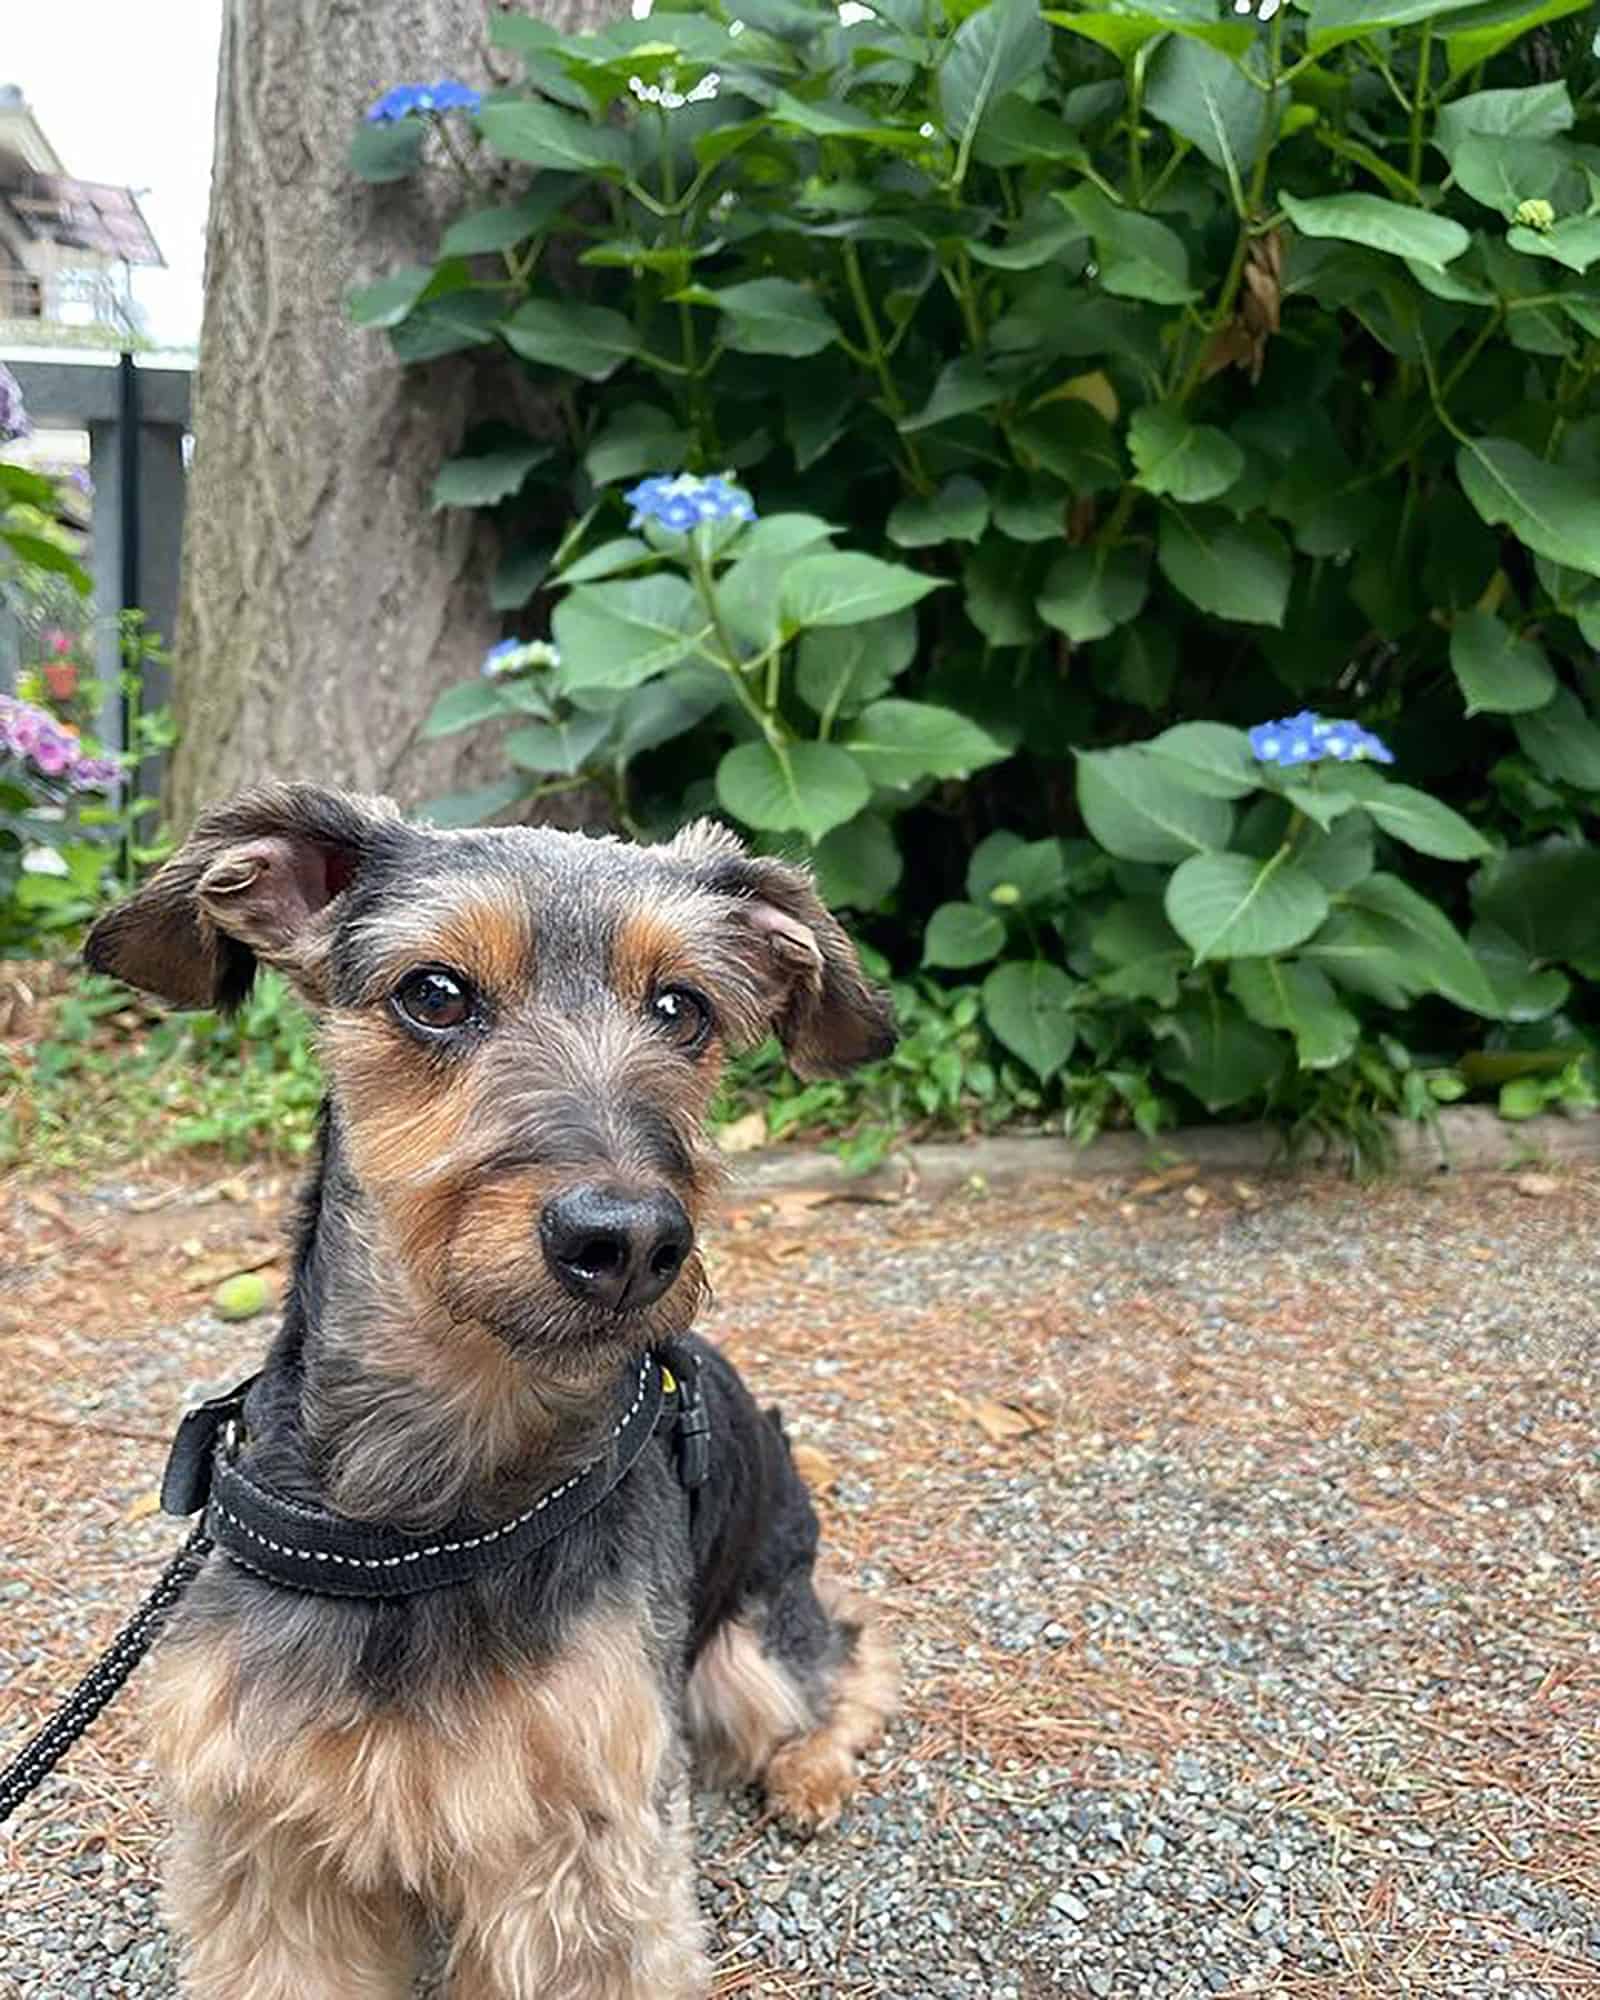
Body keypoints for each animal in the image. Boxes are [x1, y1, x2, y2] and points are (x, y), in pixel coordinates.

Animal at [87, 780, 900, 2000]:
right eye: (434, 993)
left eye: (684, 1009)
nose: (630, 1241)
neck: (431, 1486)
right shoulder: (271, 1845)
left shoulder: (581, 1849)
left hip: (745, 1651)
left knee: (845, 1653)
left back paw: (810, 1771)